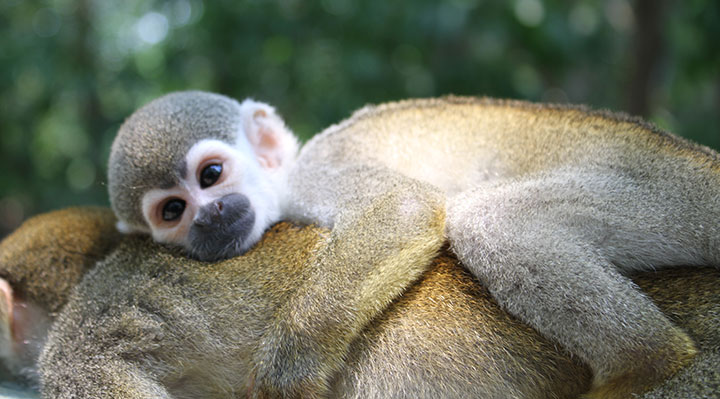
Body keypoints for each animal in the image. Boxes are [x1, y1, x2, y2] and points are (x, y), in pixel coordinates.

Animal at [108, 90, 720, 396]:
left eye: (211, 176)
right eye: (172, 211)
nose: (210, 218)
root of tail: (698, 161)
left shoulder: (316, 174)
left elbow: (404, 208)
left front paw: (288, 372)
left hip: (667, 196)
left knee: (491, 221)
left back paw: (648, 360)